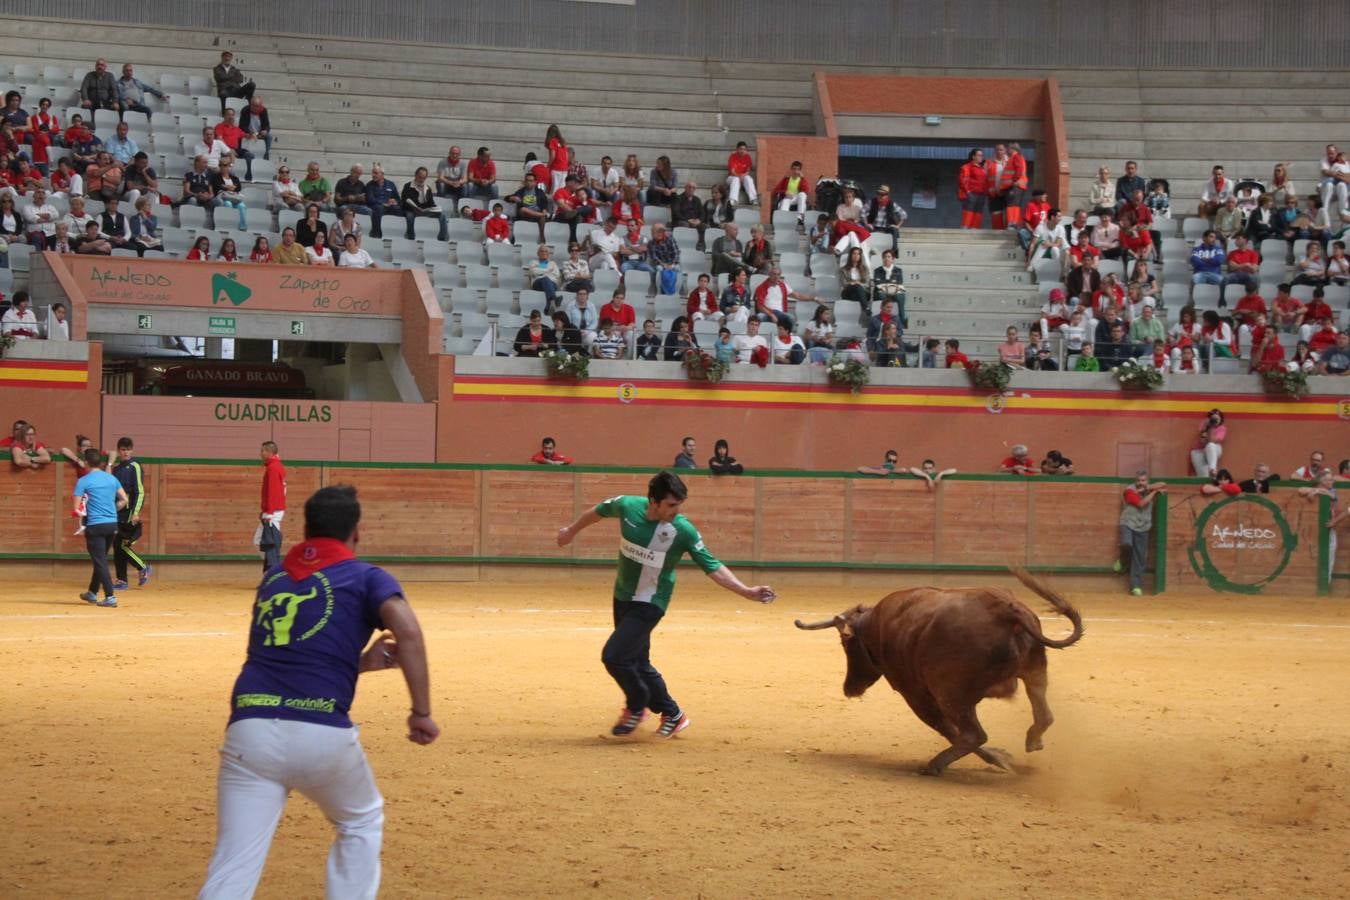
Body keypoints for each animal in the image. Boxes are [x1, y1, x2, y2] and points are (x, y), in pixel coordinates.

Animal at [793, 569, 1080, 777]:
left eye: (845, 643)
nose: (849, 688)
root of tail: (1006, 610)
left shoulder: (914, 693)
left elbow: (946, 728)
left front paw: (1000, 757)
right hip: (1035, 671)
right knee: (1043, 713)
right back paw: (1032, 741)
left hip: (950, 694)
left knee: (972, 734)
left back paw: (935, 765)